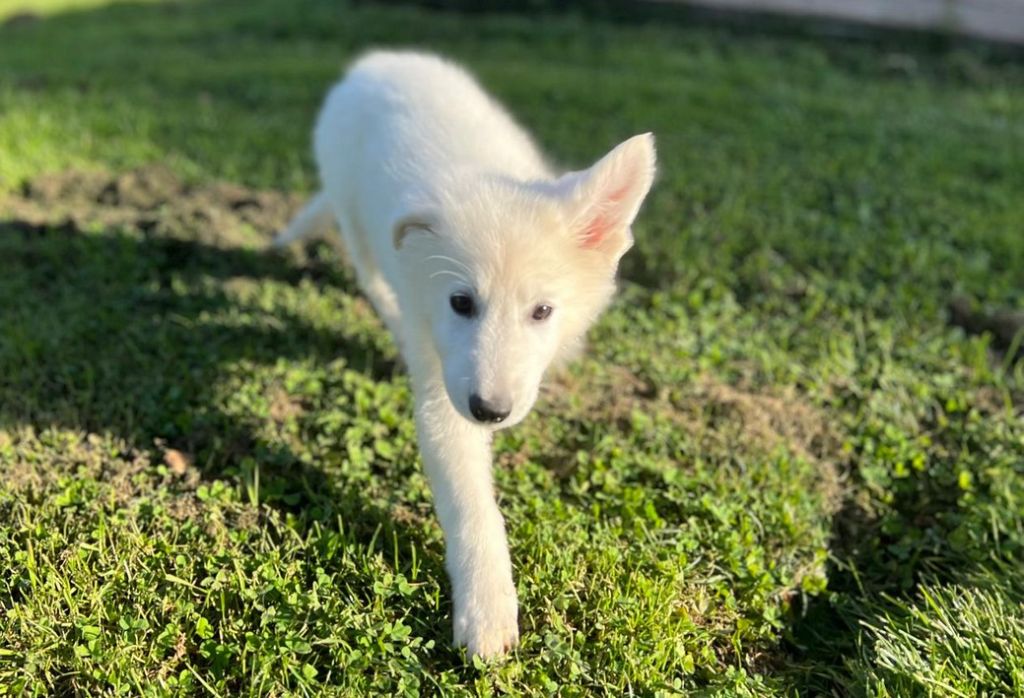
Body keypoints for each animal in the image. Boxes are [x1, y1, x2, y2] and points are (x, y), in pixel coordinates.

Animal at [276, 51, 651, 655]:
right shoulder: (443, 390)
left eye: (542, 312)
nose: (490, 412)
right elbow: (473, 506)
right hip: (352, 211)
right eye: (460, 302)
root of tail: (376, 62)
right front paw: (487, 609)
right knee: (369, 272)